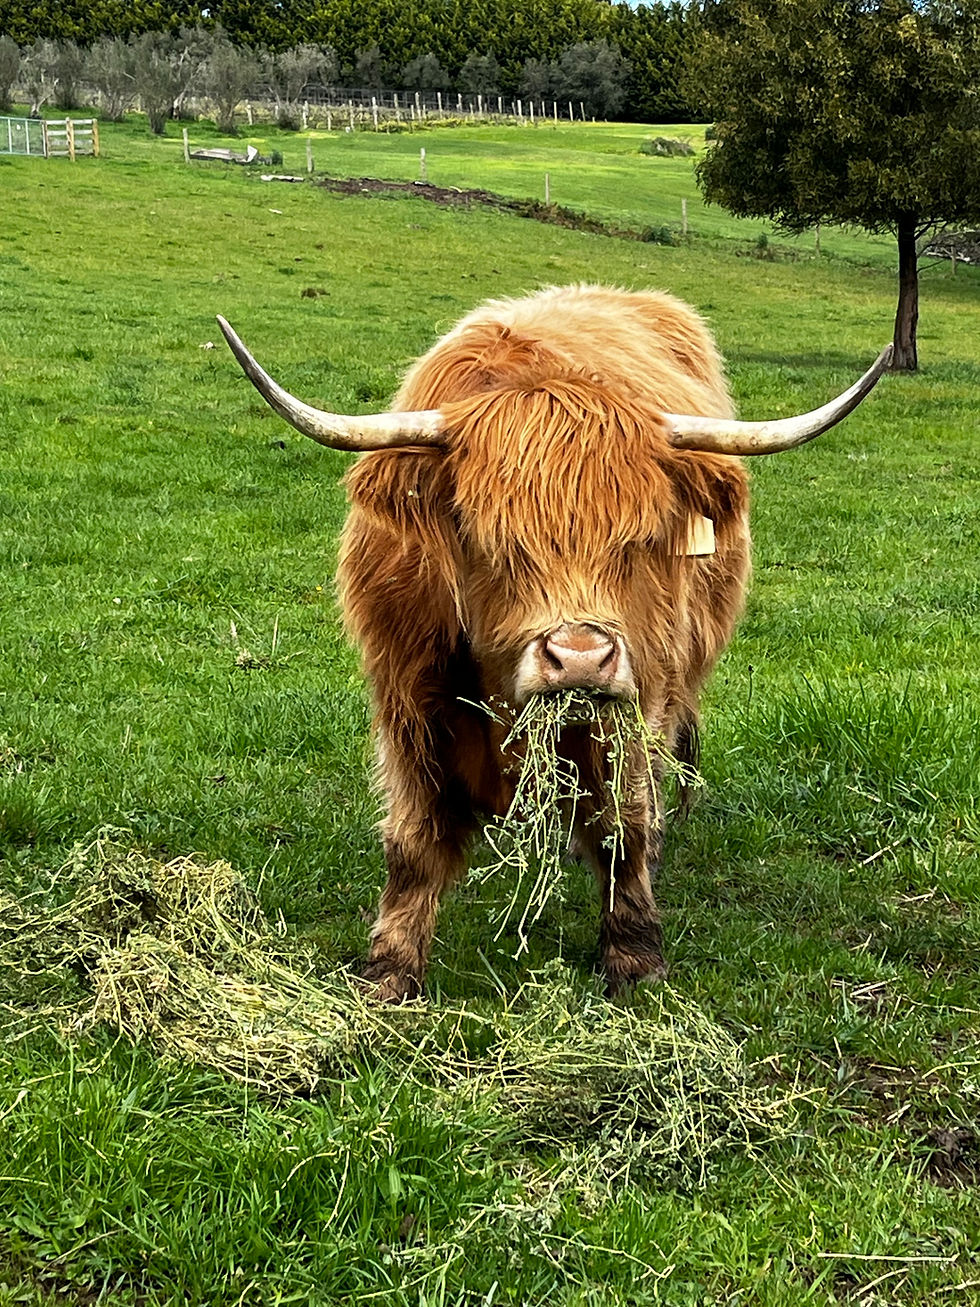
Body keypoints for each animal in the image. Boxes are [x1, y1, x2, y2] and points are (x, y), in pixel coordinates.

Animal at [218, 285, 889, 1001]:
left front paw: (634, 959)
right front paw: (390, 970)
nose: (580, 658)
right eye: (487, 540)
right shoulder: (406, 700)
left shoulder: (635, 699)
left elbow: (623, 822)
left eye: (639, 539)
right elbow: (414, 840)